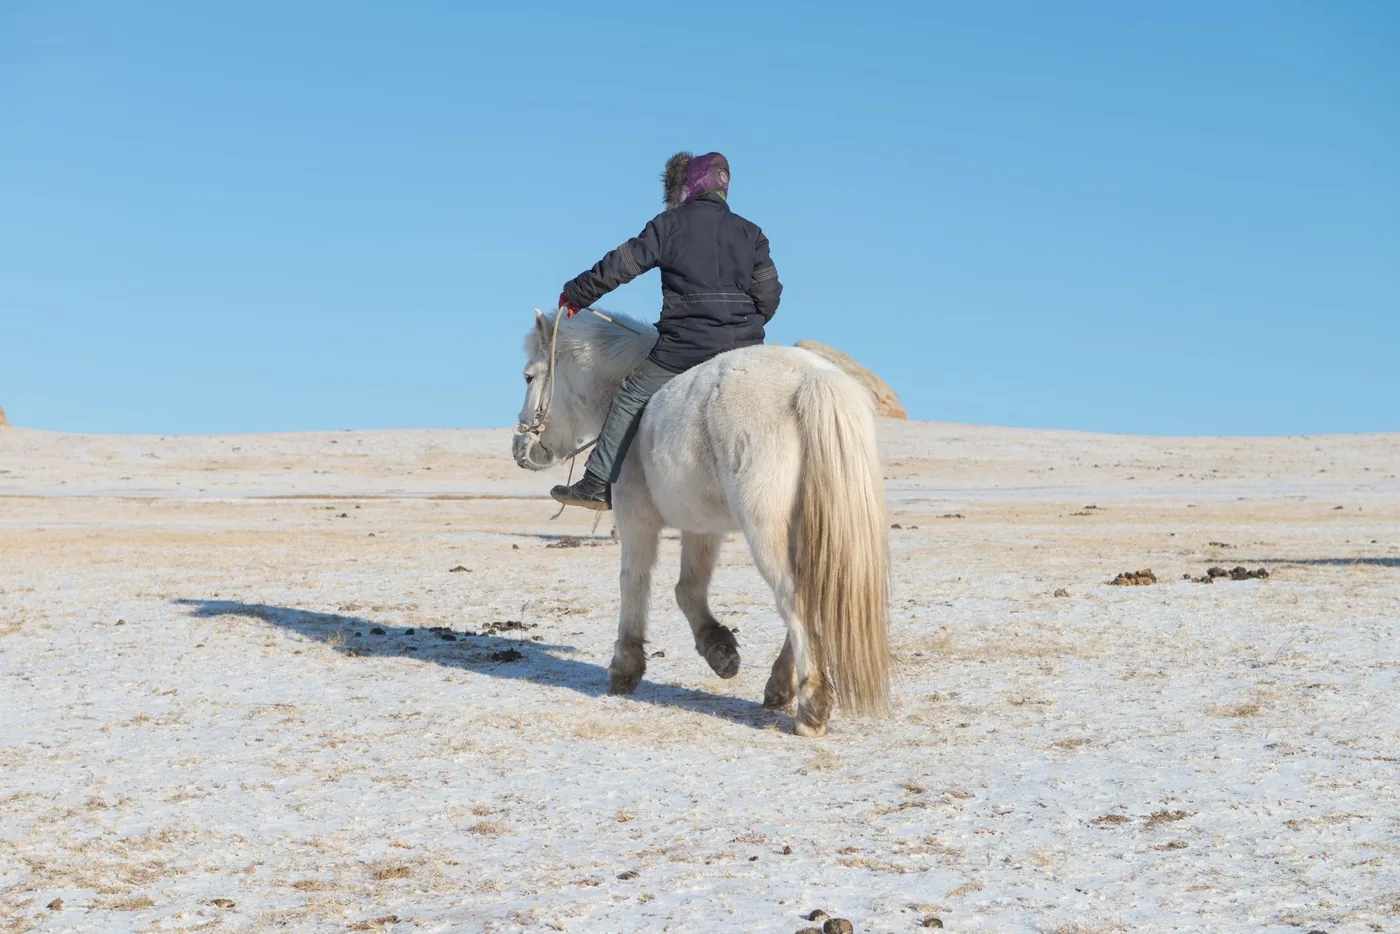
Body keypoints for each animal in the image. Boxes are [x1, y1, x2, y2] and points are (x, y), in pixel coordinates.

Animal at [512, 309, 890, 736]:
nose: (521, 449)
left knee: (794, 598)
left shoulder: (635, 517)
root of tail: (812, 380)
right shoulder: (702, 526)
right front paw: (719, 650)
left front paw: (625, 668)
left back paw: (812, 706)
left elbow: (634, 582)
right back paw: (779, 686)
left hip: (765, 530)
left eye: (528, 376)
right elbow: (688, 589)